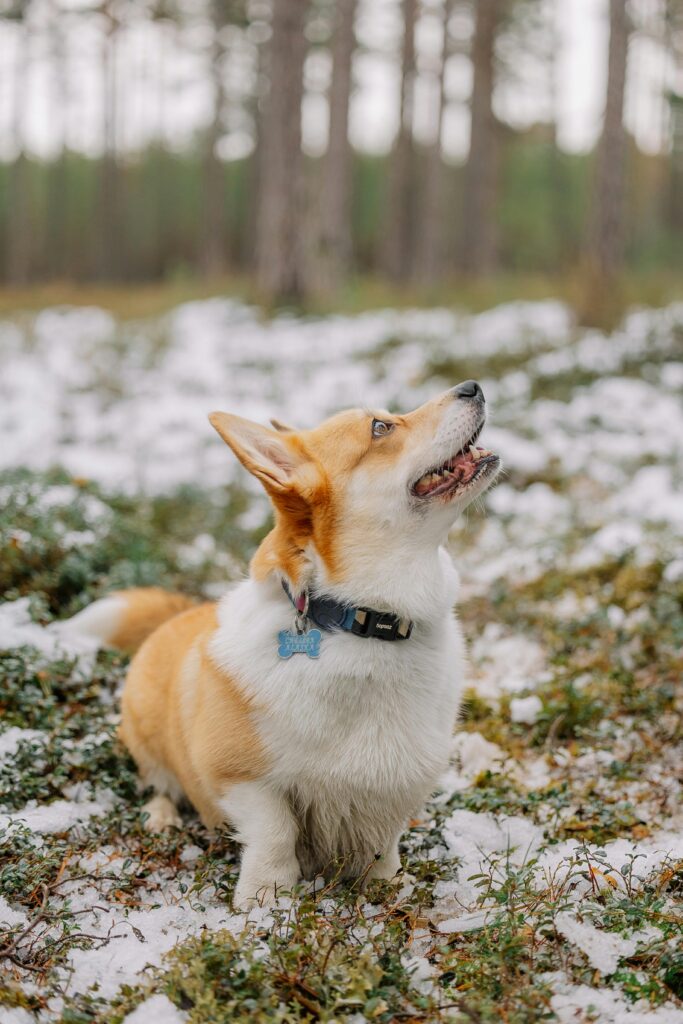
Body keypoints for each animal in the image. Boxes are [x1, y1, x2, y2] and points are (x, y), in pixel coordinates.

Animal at [66, 380, 499, 909]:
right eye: (380, 427)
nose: (473, 386)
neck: (367, 623)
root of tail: (178, 613)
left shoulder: (394, 787)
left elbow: (383, 843)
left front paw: (389, 889)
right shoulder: (242, 779)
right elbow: (276, 834)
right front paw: (264, 901)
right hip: (145, 739)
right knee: (159, 785)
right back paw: (162, 818)